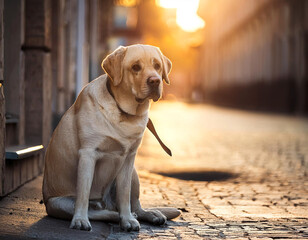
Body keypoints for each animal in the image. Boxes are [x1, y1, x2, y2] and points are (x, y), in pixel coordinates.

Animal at [42, 44, 179, 232]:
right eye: (135, 67)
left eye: (157, 66)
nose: (155, 81)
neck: (125, 113)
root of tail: (103, 203)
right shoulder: (87, 154)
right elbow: (83, 193)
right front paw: (80, 220)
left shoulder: (129, 158)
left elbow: (124, 194)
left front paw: (127, 219)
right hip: (59, 203)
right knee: (98, 212)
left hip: (134, 173)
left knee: (134, 206)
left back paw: (146, 215)